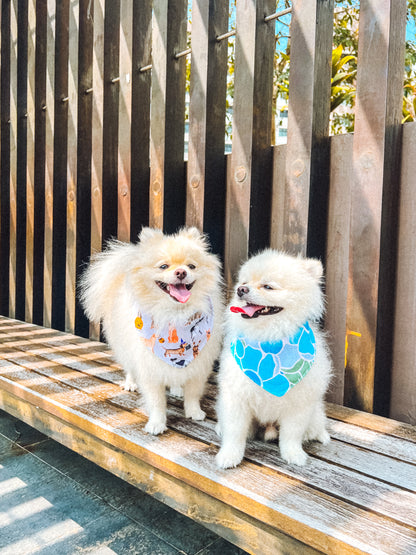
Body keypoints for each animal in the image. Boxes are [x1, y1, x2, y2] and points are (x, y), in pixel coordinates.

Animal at [81, 228, 224, 436]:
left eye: (192, 266)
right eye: (163, 266)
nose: (181, 272)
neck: (176, 315)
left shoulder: (199, 365)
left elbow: (193, 393)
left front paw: (194, 411)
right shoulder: (149, 367)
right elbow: (156, 401)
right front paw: (156, 423)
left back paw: (176, 388)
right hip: (125, 348)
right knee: (129, 367)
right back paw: (131, 383)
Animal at [216, 250, 334, 466]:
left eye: (268, 286)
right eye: (244, 282)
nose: (241, 290)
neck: (269, 339)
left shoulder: (299, 403)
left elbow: (291, 435)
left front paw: (293, 454)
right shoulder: (236, 398)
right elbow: (235, 432)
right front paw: (229, 456)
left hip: (315, 412)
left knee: (315, 424)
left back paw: (318, 434)